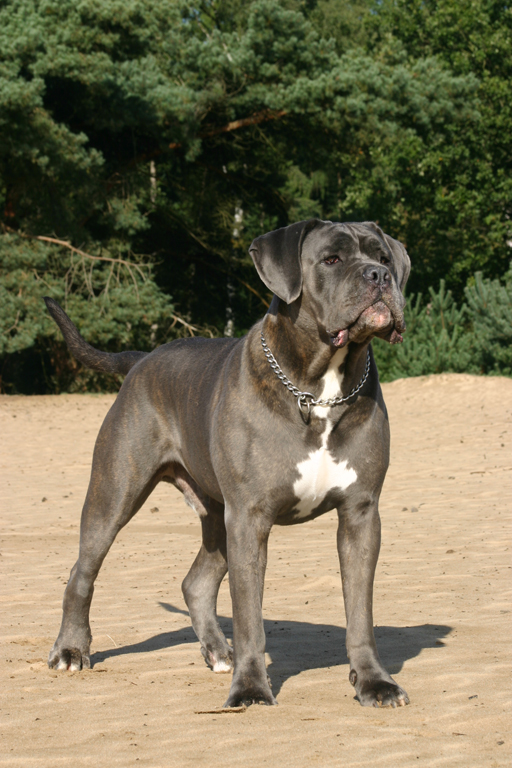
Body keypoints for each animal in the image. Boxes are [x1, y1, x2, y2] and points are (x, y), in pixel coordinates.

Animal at [44, 216, 412, 708]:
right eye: (332, 259)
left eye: (384, 256)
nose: (379, 276)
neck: (319, 386)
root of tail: (142, 359)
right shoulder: (250, 518)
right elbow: (249, 616)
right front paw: (252, 688)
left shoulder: (360, 513)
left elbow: (360, 613)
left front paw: (374, 682)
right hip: (115, 493)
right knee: (82, 571)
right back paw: (70, 650)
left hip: (218, 516)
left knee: (196, 582)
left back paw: (219, 652)